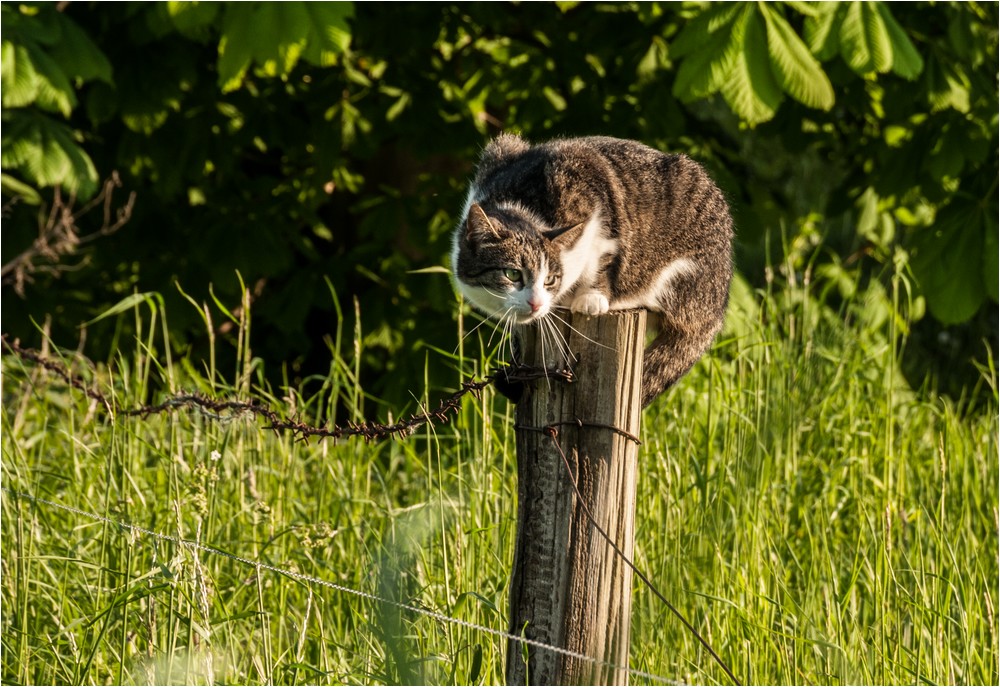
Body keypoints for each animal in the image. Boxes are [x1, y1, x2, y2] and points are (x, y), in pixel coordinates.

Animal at [454, 133, 736, 408]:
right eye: (512, 274)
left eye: (550, 279)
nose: (536, 303)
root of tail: (717, 309)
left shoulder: (590, 173)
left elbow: (604, 254)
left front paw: (591, 298)